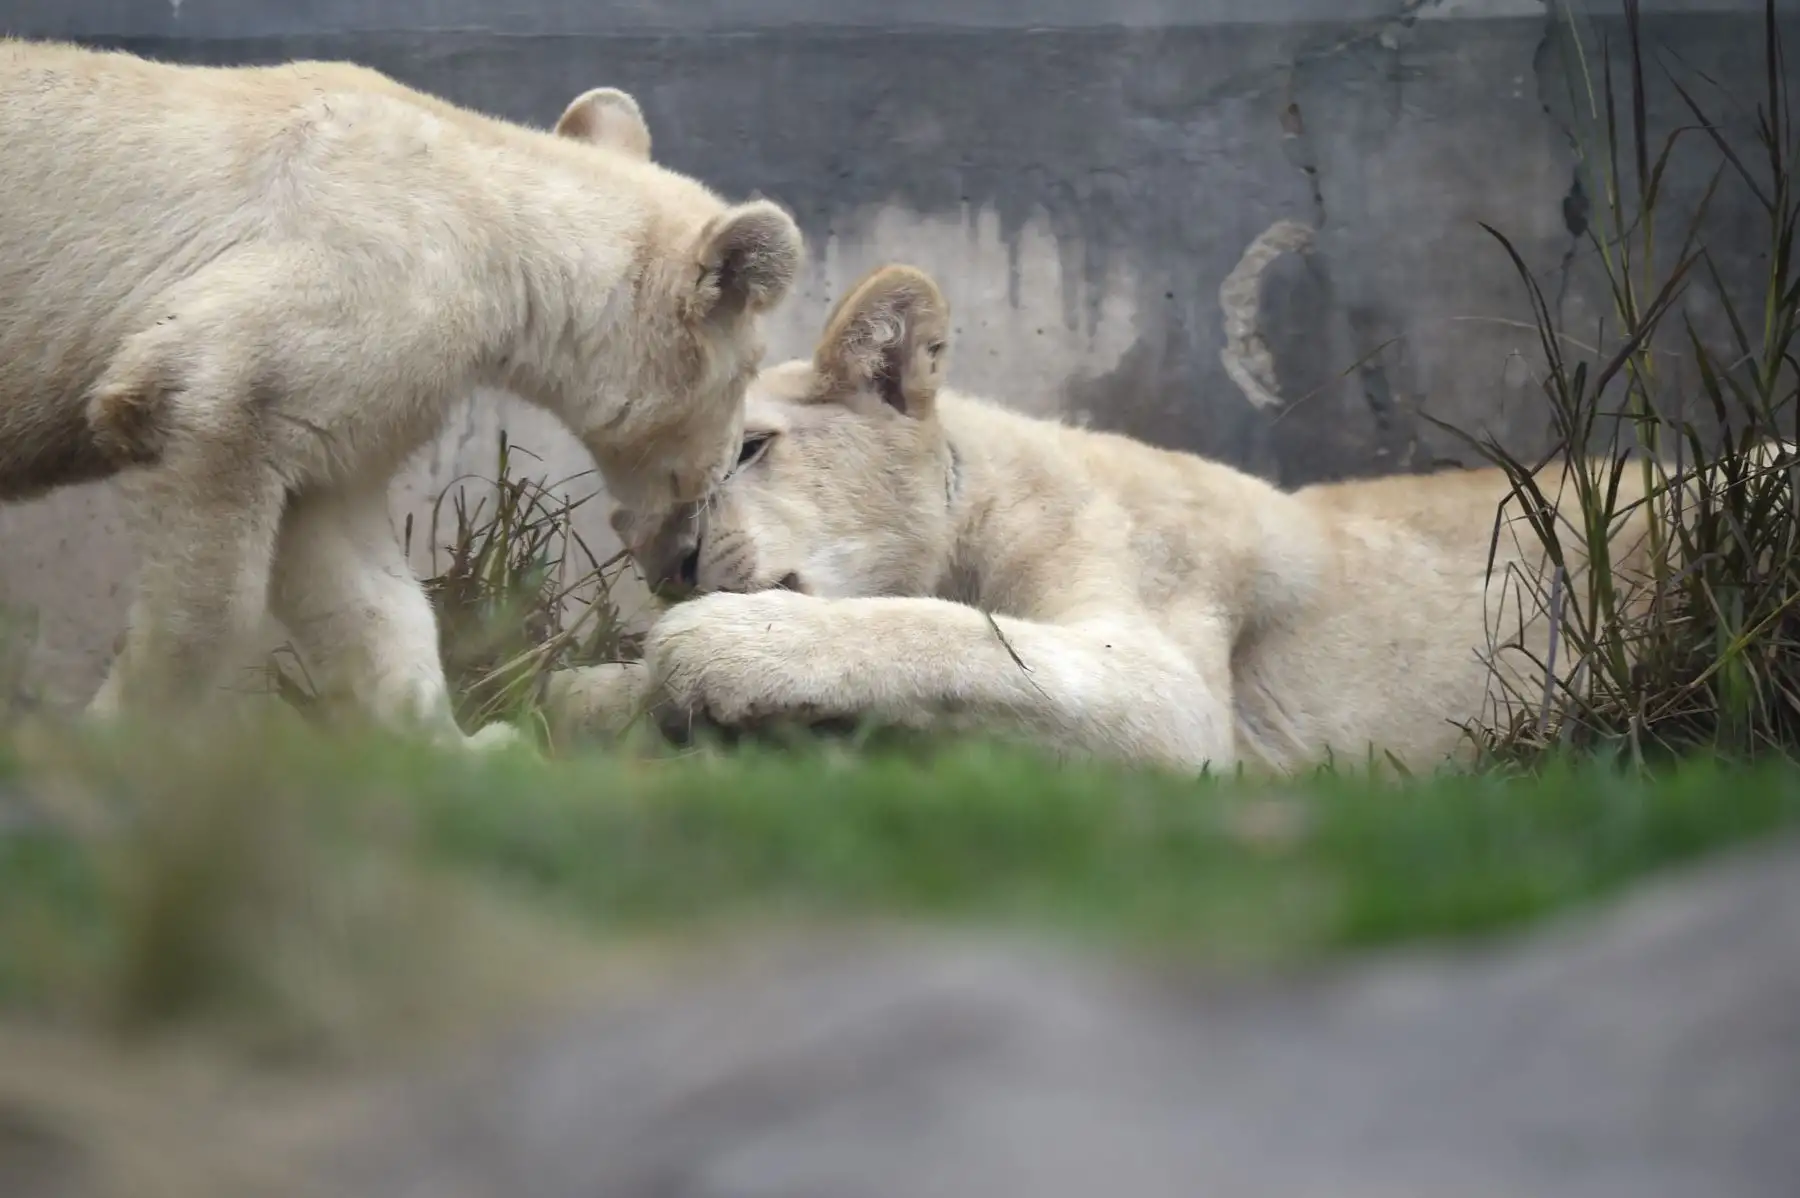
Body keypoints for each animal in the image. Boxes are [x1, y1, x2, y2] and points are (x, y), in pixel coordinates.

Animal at [0, 40, 804, 747]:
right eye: (748, 371)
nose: (687, 550)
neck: (492, 212)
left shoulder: (368, 383)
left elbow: (347, 554)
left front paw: (474, 747)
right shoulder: (366, 274)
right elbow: (213, 414)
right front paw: (126, 742)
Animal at [546, 264, 1719, 775]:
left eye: (751, 449)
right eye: (638, 517)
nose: (675, 561)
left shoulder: (1175, 681)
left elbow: (956, 635)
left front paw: (709, 651)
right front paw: (591, 701)